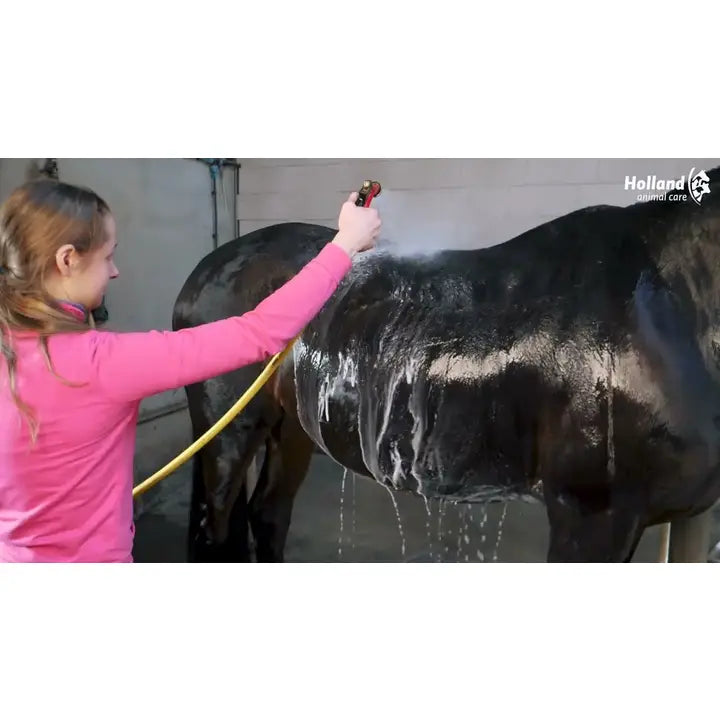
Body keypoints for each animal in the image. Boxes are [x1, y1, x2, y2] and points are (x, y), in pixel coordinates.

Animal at [172, 167, 720, 562]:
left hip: (291, 429)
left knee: (268, 516)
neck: (674, 301)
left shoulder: (691, 517)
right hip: (229, 430)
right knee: (216, 531)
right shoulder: (590, 516)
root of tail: (209, 267)